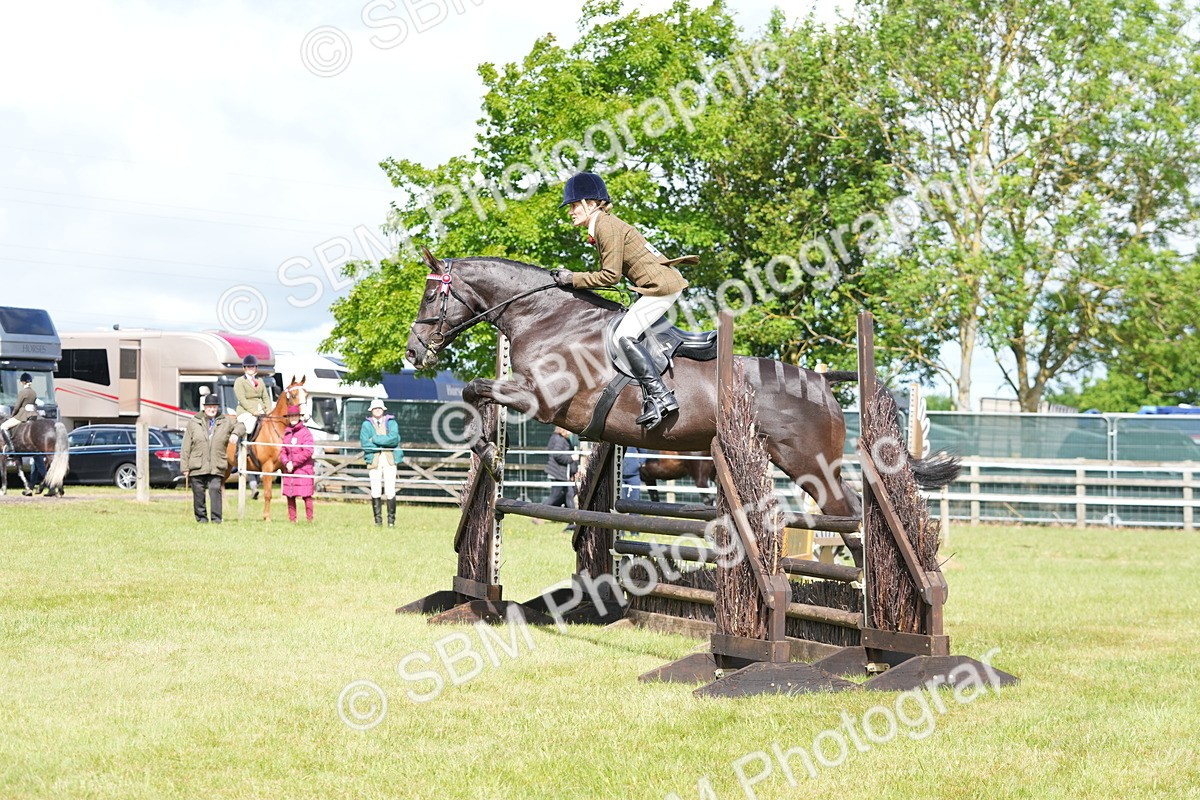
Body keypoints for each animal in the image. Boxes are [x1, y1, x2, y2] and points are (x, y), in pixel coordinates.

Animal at [224, 377, 307, 521]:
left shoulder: (285, 467)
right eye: (294, 395)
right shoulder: (267, 467)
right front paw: (267, 517)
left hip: (228, 467)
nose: (306, 416)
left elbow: (288, 493)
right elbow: (268, 493)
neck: (276, 429)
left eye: (307, 394)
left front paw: (292, 518)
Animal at [404, 250, 959, 556]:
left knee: (850, 516)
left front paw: (487, 451)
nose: (413, 352)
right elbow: (478, 391)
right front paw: (488, 450)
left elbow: (477, 388)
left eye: (431, 298)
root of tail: (822, 383)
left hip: (811, 465)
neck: (546, 316)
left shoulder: (542, 399)